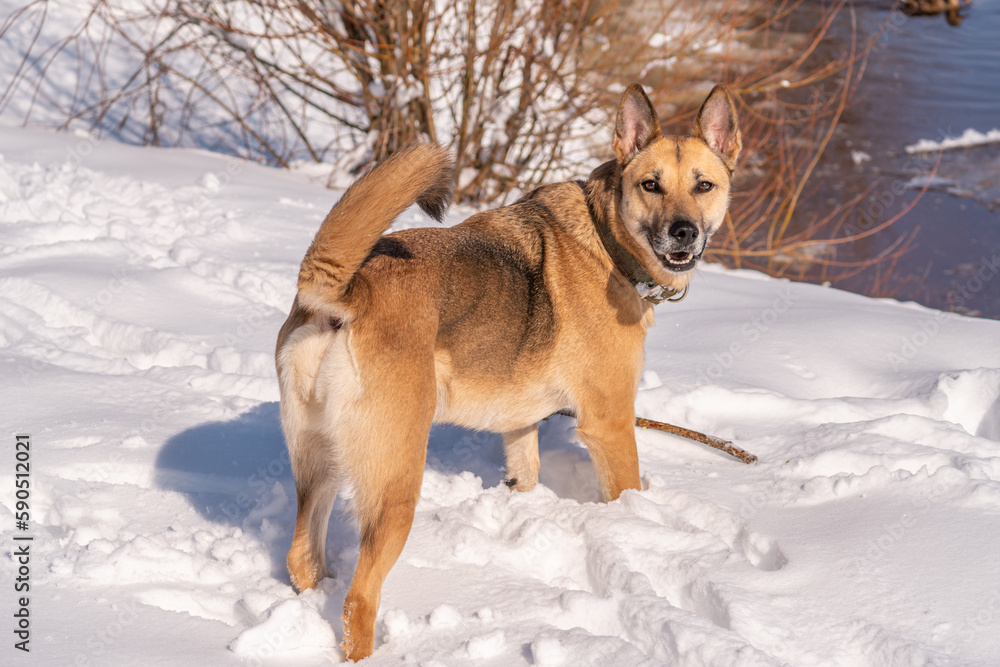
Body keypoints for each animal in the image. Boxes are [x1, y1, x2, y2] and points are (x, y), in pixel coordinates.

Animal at [278, 81, 740, 660]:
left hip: (319, 462)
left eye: (704, 185)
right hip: (396, 480)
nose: (683, 233)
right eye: (650, 185)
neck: (607, 240)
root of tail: (349, 291)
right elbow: (627, 491)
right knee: (359, 598)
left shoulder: (521, 426)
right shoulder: (610, 424)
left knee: (301, 557)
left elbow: (525, 475)